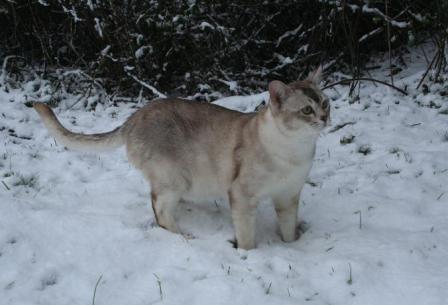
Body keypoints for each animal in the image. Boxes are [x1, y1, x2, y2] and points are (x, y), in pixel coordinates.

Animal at [34, 67, 328, 248]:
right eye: (306, 110)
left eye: (325, 103)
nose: (325, 118)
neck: (296, 151)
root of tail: (133, 118)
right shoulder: (242, 196)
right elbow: (246, 238)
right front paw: (249, 255)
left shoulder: (288, 196)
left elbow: (288, 231)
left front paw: (292, 246)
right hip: (173, 179)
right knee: (160, 211)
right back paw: (185, 238)